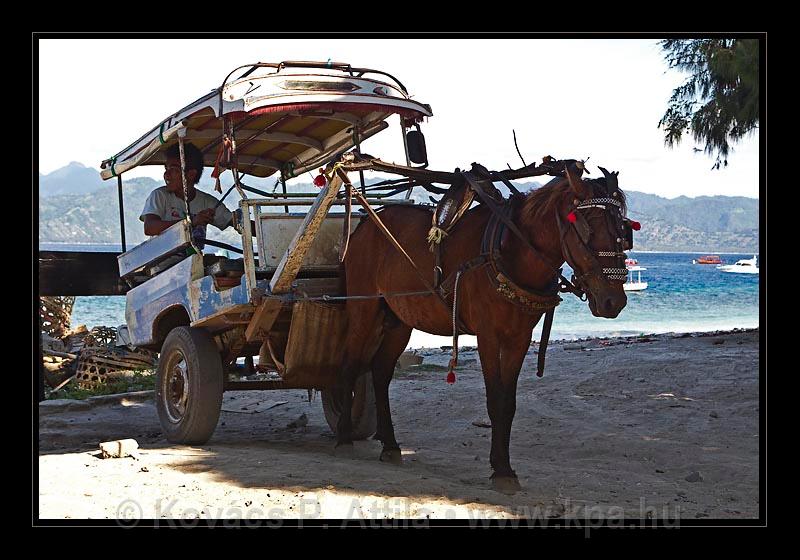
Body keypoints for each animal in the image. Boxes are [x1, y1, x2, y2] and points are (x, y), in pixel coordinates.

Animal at [332, 163, 632, 494]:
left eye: (624, 231)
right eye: (588, 228)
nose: (613, 301)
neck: (509, 250)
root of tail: (363, 225)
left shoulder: (518, 339)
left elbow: (508, 403)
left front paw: (505, 466)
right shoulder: (488, 336)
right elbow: (494, 400)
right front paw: (500, 469)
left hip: (399, 320)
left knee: (381, 372)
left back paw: (390, 444)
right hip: (364, 308)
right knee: (348, 365)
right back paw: (344, 437)